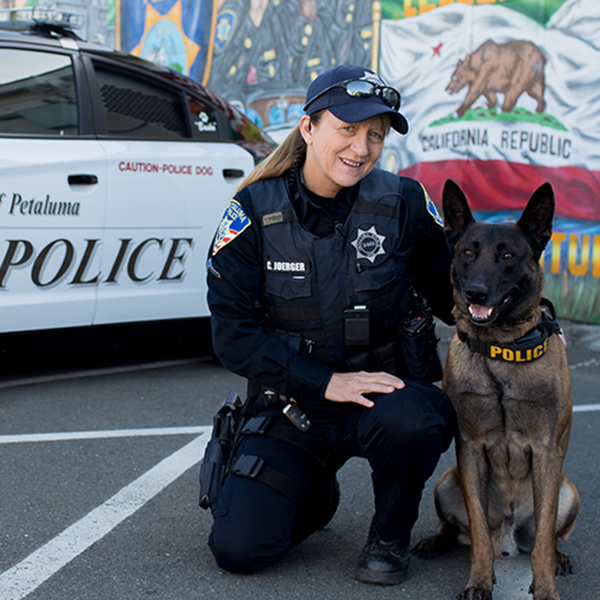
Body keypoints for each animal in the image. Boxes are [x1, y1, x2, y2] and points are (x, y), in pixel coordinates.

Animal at [414, 179, 580, 600]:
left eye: (507, 255)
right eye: (468, 253)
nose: (475, 293)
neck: (500, 351)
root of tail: (508, 532)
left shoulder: (547, 452)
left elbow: (542, 542)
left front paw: (546, 589)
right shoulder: (470, 449)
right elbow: (477, 535)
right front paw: (478, 582)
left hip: (568, 492)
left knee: (549, 536)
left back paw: (559, 557)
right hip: (446, 482)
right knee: (463, 532)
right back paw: (435, 542)